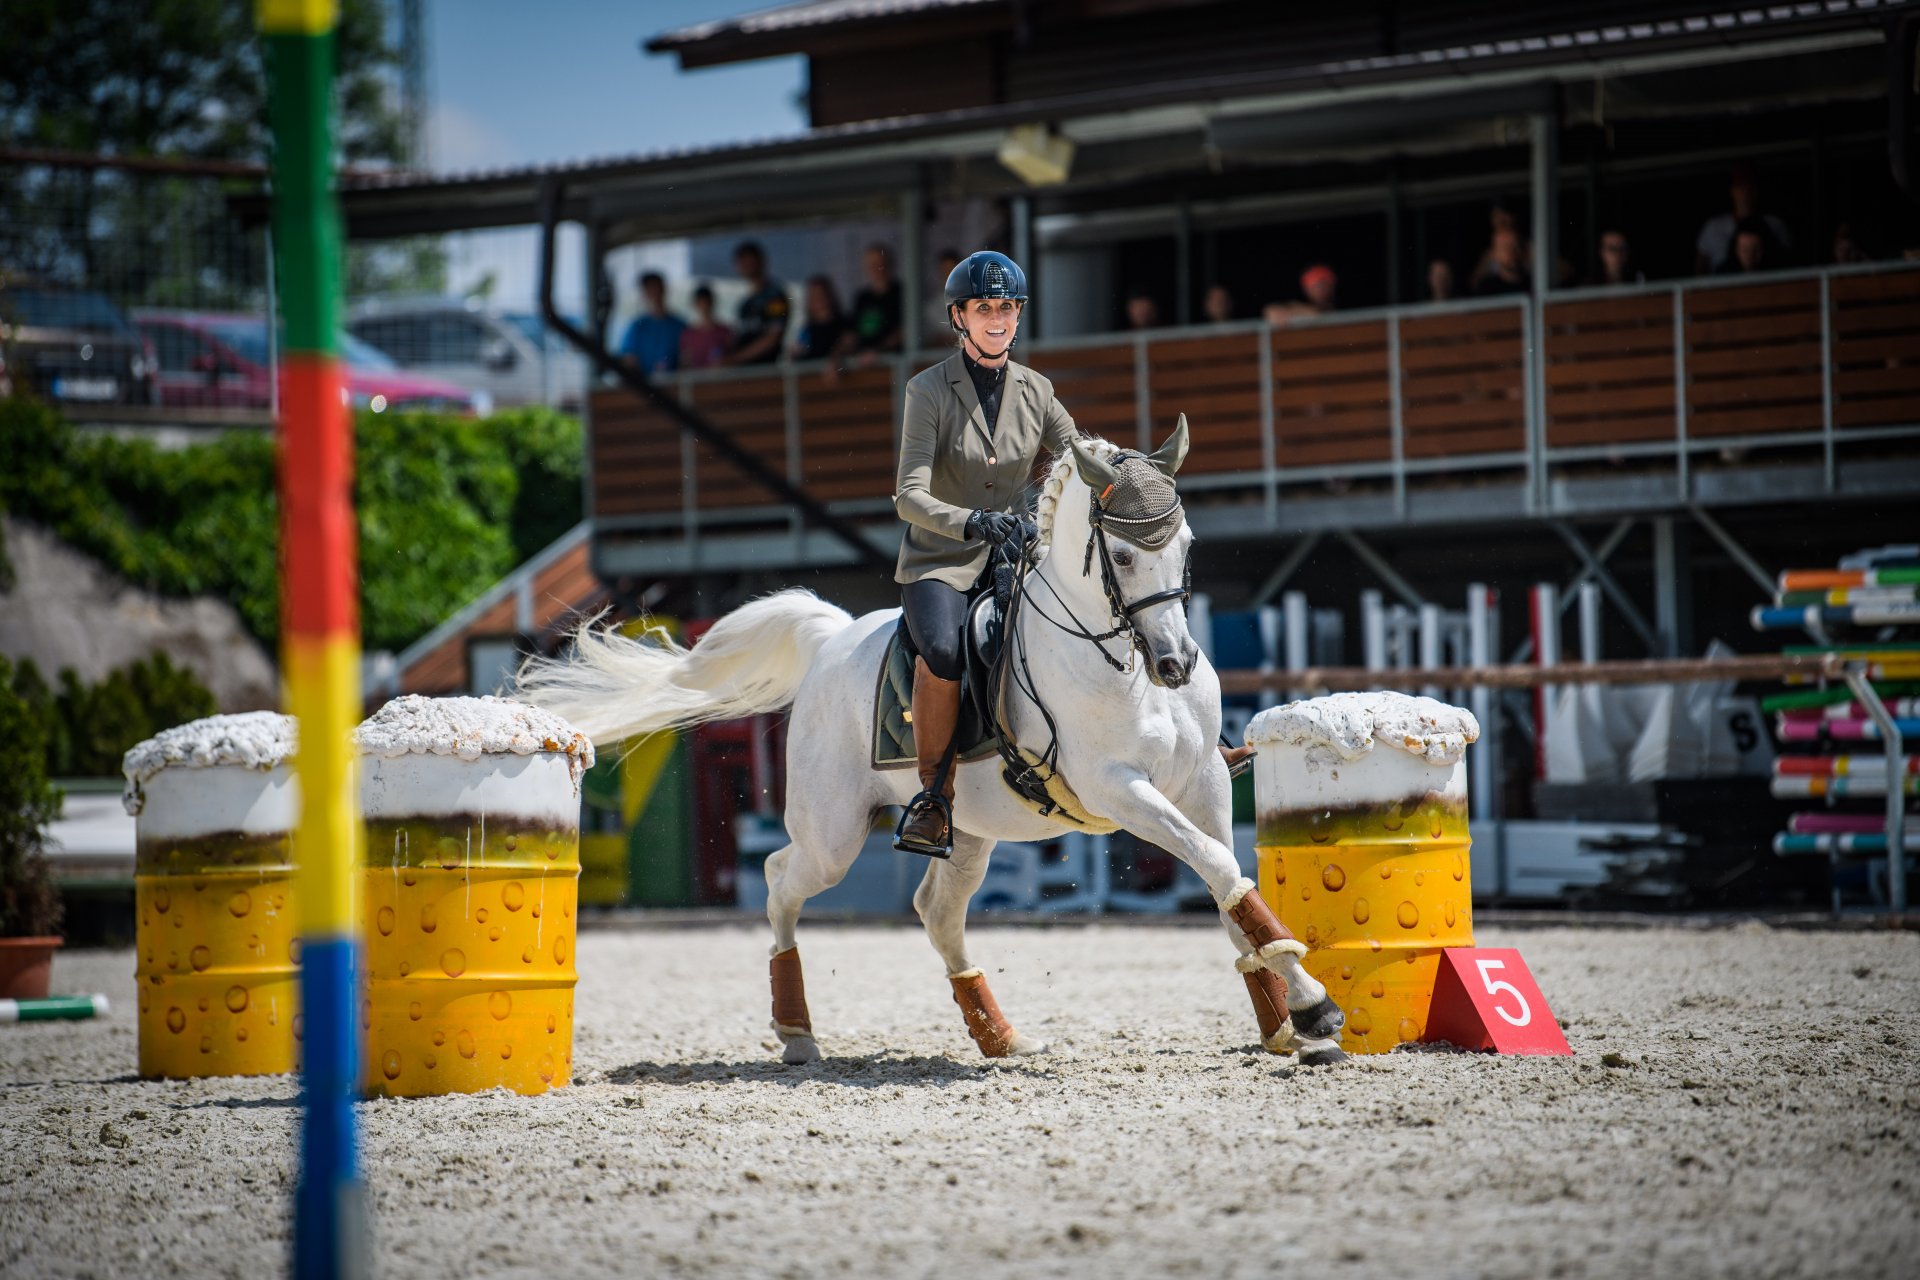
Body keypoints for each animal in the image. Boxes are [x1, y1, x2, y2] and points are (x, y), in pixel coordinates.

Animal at [518, 426, 1344, 1066]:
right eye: (1123, 557)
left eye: (1186, 547)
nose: (1176, 664)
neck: (1121, 662)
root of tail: (833, 639)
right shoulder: (1119, 789)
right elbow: (1216, 869)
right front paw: (1313, 1006)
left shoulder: (1202, 782)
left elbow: (1227, 882)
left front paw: (1286, 1016)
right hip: (833, 833)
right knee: (783, 879)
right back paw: (796, 1033)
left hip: (968, 828)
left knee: (937, 912)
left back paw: (1000, 1038)